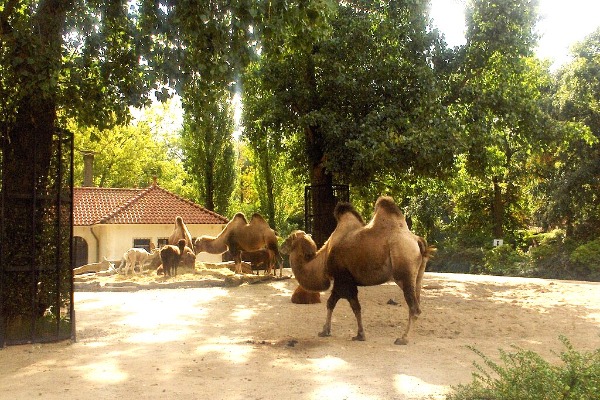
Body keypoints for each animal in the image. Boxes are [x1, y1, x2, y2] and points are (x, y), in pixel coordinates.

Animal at [282, 195, 436, 346]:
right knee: (417, 303)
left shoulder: (343, 279)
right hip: (418, 276)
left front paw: (359, 334)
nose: (281, 246)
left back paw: (403, 338)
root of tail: (418, 241)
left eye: (289, 239)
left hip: (403, 272)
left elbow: (351, 306)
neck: (324, 257)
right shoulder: (342, 281)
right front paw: (326, 330)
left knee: (414, 307)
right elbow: (333, 303)